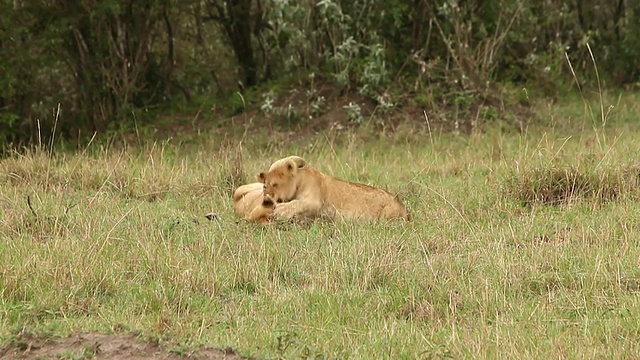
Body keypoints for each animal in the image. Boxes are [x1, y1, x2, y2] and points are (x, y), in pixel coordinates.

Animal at [256, 155, 410, 221]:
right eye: (264, 186)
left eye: (275, 184)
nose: (266, 201)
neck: (300, 180)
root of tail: (404, 209)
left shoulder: (315, 201)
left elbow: (298, 203)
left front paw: (281, 211)